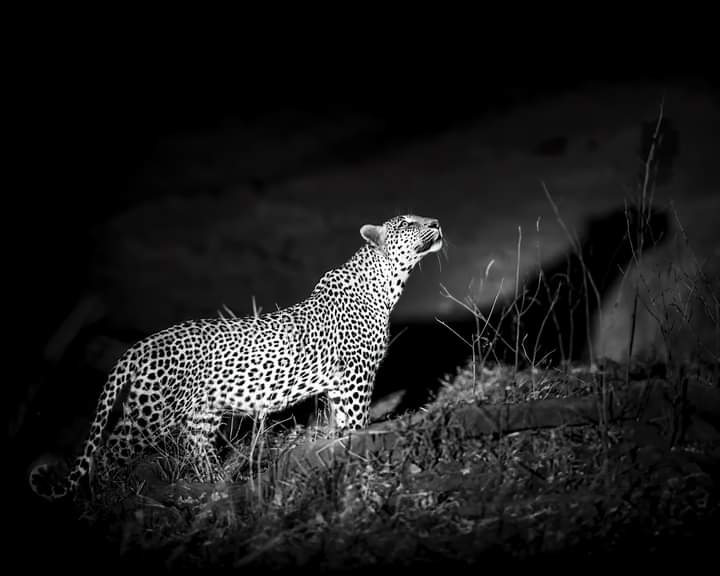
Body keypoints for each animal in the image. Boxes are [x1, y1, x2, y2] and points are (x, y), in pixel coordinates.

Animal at [29, 214, 443, 500]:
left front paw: (341, 448)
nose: (437, 222)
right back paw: (110, 496)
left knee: (196, 448)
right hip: (151, 414)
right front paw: (357, 449)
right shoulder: (357, 376)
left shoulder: (340, 384)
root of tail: (137, 347)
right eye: (408, 222)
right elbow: (357, 420)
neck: (388, 282)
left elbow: (342, 423)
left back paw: (214, 486)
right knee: (108, 450)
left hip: (202, 412)